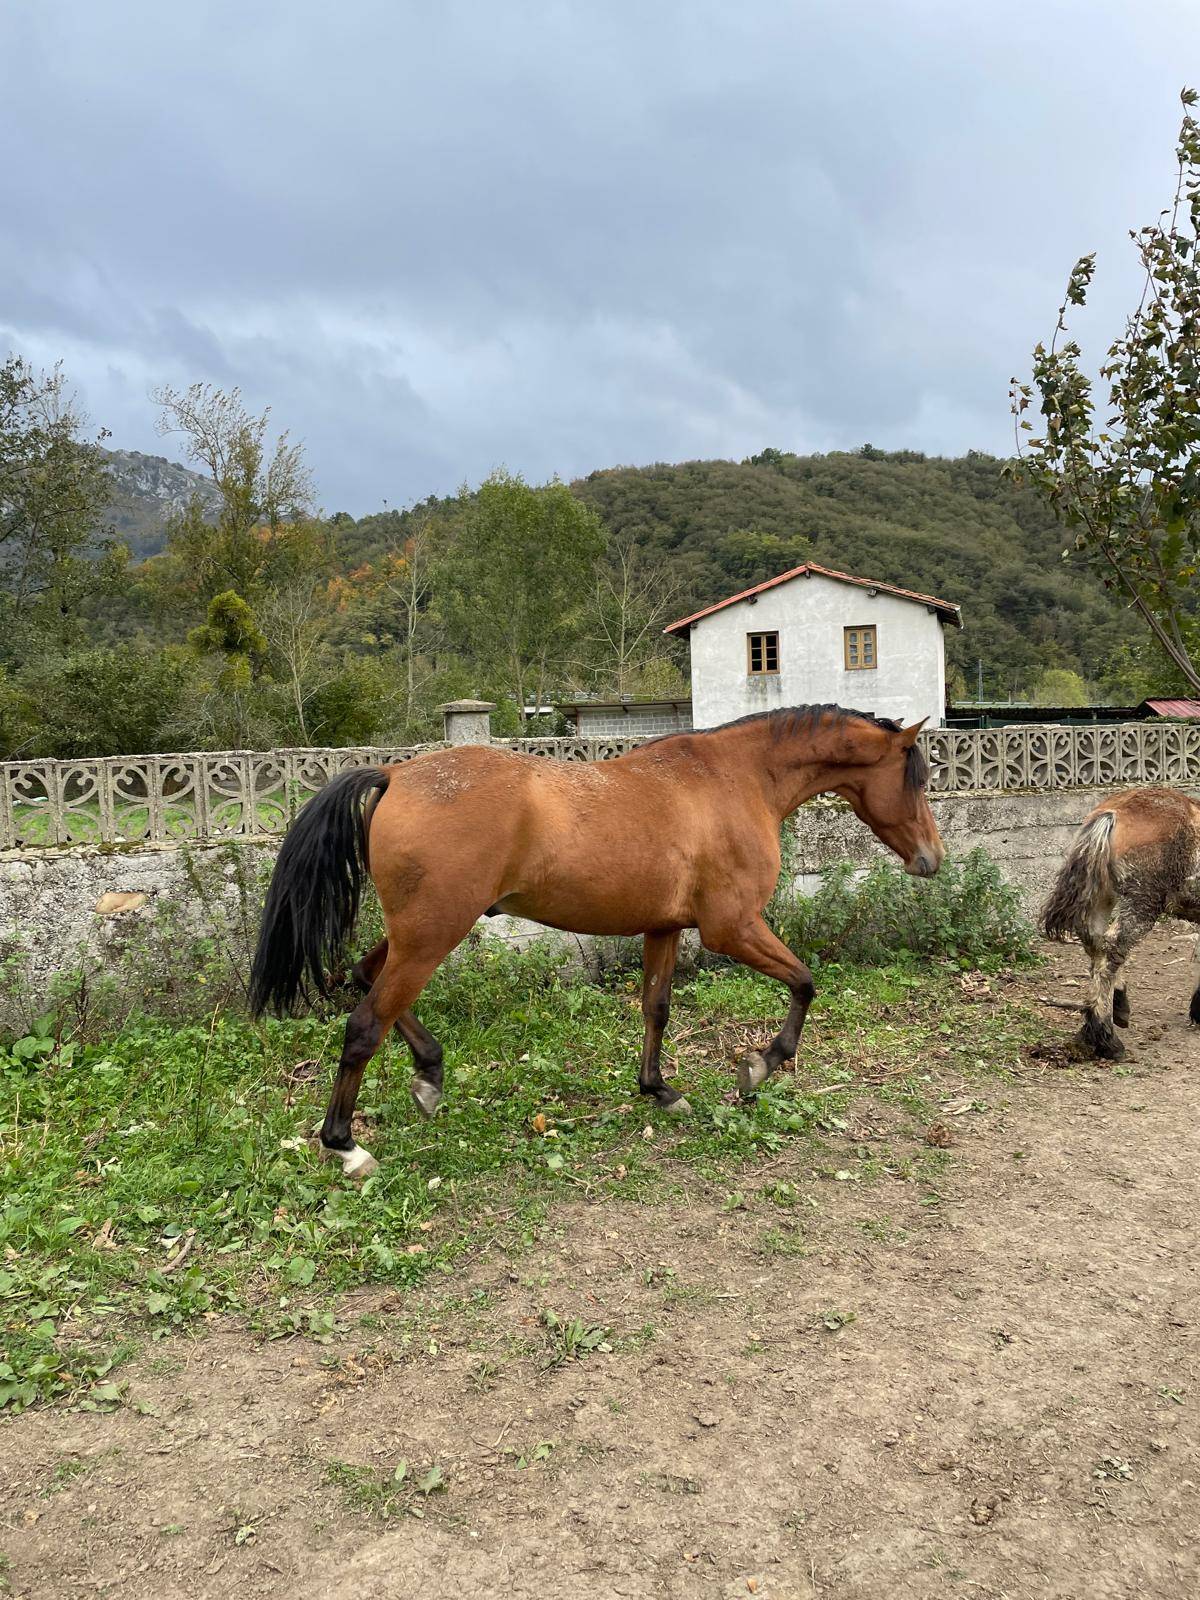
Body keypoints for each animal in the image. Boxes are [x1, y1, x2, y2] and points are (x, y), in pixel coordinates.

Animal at [249, 705, 944, 1177]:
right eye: (917, 778)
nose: (931, 860)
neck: (735, 780)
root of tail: (396, 774)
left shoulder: (665, 927)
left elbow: (656, 1007)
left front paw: (659, 1090)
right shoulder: (733, 928)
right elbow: (805, 980)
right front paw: (759, 1064)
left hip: (416, 936)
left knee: (367, 979)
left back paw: (430, 1076)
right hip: (432, 936)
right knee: (366, 1022)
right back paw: (346, 1145)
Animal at [1041, 786, 1200, 1059]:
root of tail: (1113, 813)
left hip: (1103, 896)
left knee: (1095, 942)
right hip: (1142, 901)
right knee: (1113, 948)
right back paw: (1106, 1038)